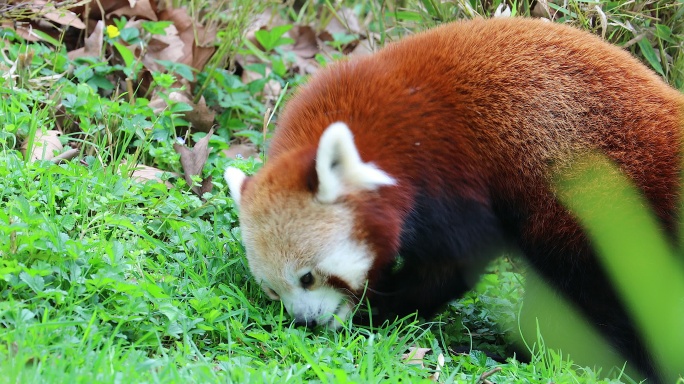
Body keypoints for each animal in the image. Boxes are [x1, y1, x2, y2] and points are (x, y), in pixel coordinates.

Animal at [226, 17, 684, 378]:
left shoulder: (445, 172)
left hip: (605, 208)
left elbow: (453, 261)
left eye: (308, 277)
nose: (306, 322)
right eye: (272, 291)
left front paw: (383, 307)